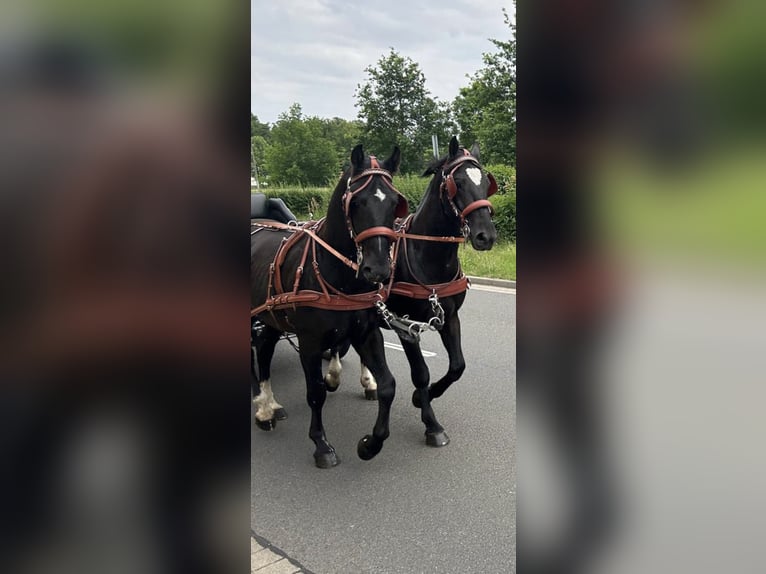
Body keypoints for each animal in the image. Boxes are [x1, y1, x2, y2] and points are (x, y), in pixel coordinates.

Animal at [250, 144, 408, 468]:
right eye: (357, 202)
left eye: (395, 203)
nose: (378, 269)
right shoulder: (310, 342)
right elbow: (315, 392)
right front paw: (321, 444)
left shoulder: (367, 333)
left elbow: (388, 385)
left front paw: (370, 444)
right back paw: (263, 408)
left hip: (271, 317)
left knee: (265, 349)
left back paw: (269, 406)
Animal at [322, 136, 498, 450]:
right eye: (458, 182)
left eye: (485, 181)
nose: (485, 236)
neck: (426, 254)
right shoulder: (406, 327)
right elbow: (420, 373)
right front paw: (431, 424)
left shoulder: (449, 317)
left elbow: (457, 366)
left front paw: (426, 396)